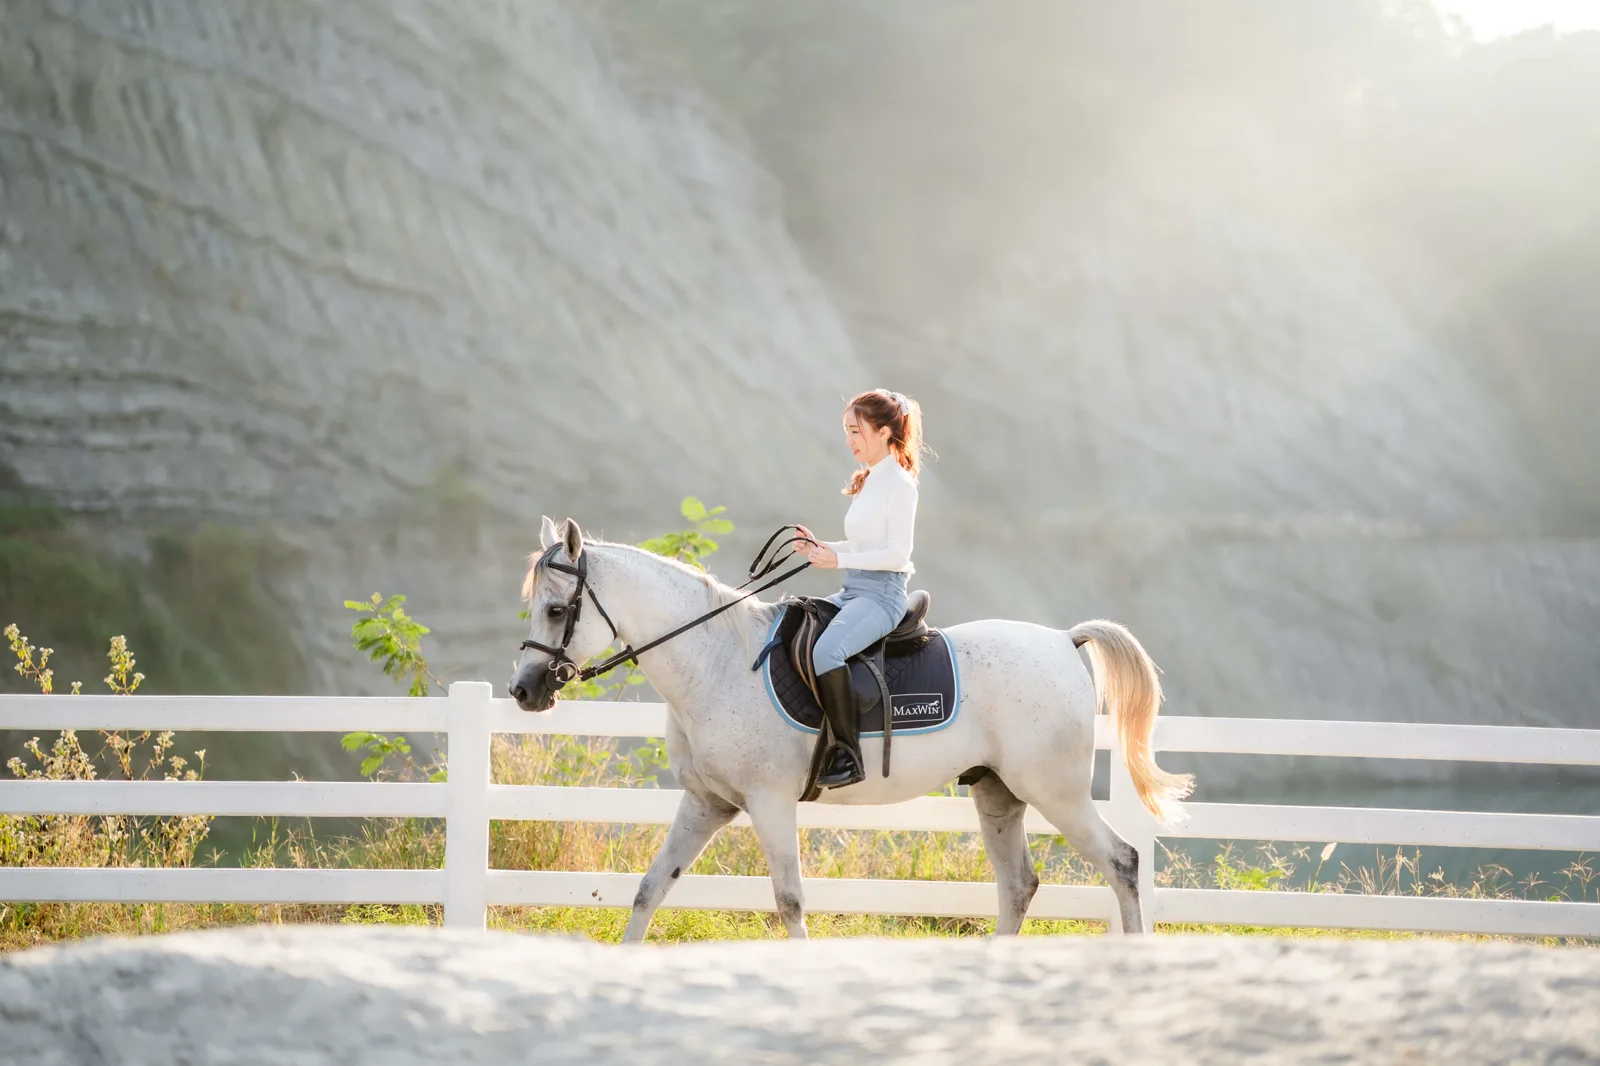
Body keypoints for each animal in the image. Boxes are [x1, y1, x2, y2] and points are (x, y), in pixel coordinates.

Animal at [508, 516, 1194, 940]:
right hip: (998, 794)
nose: (524, 691)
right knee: (1019, 884)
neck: (715, 660)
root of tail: (1062, 639)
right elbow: (650, 890)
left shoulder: (769, 803)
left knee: (1123, 862)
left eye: (558, 609)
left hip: (1055, 792)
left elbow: (789, 900)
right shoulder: (707, 803)